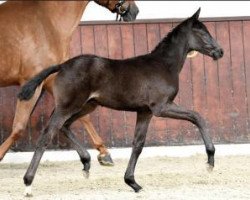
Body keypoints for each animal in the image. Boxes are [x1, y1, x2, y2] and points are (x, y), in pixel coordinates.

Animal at [0, 0, 139, 165]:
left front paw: (104, 154)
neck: (47, 21)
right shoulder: (31, 82)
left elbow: (84, 117)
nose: (134, 11)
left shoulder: (48, 80)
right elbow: (19, 128)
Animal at [18, 8, 224, 195]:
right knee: (47, 135)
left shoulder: (144, 112)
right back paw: (28, 184)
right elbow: (197, 116)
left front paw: (132, 182)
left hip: (86, 106)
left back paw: (86, 163)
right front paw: (210, 160)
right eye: (202, 32)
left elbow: (138, 144)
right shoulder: (161, 107)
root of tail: (62, 65)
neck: (164, 65)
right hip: (69, 106)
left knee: (65, 126)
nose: (220, 52)